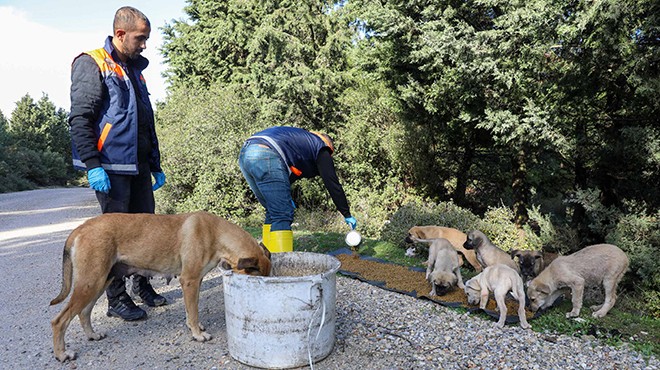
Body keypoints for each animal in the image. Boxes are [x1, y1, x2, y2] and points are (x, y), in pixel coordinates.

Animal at [48, 211, 270, 362]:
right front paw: (198, 334)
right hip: (90, 283)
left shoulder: (195, 282)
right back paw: (62, 354)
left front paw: (194, 327)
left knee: (83, 312)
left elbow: (192, 311)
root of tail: (81, 228)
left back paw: (92, 335)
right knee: (59, 321)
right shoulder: (189, 281)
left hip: (99, 282)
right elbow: (193, 311)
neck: (216, 233)